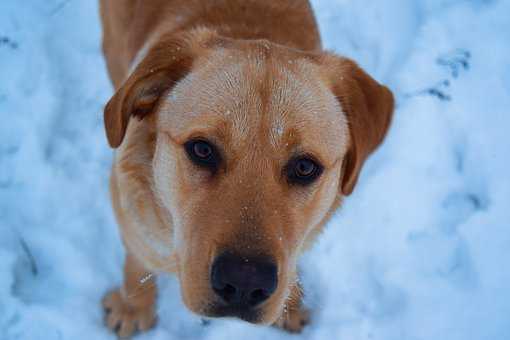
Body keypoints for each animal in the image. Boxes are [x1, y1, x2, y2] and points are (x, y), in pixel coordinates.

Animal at [98, 0, 394, 334]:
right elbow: (136, 265)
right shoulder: (132, 221)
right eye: (202, 149)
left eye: (305, 167)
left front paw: (291, 303)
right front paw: (133, 307)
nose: (244, 283)